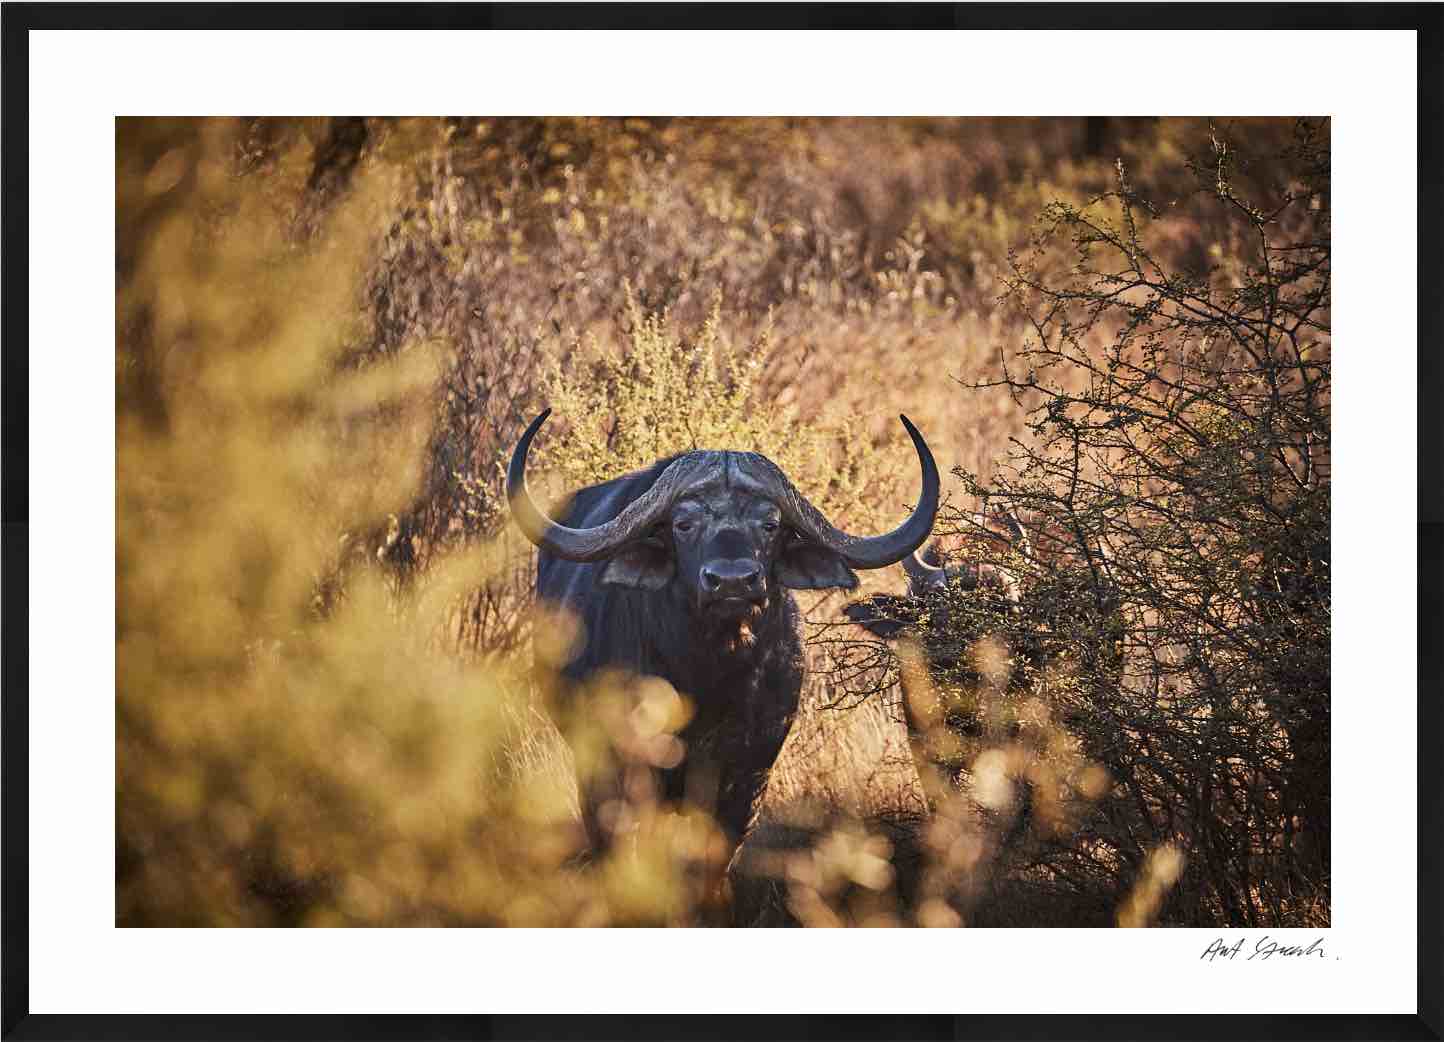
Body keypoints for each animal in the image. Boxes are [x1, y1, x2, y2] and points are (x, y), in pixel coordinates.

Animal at [508, 408, 940, 859]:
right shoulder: (622, 770)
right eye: (683, 524)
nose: (732, 582)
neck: (710, 675)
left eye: (770, 524)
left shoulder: (747, 779)